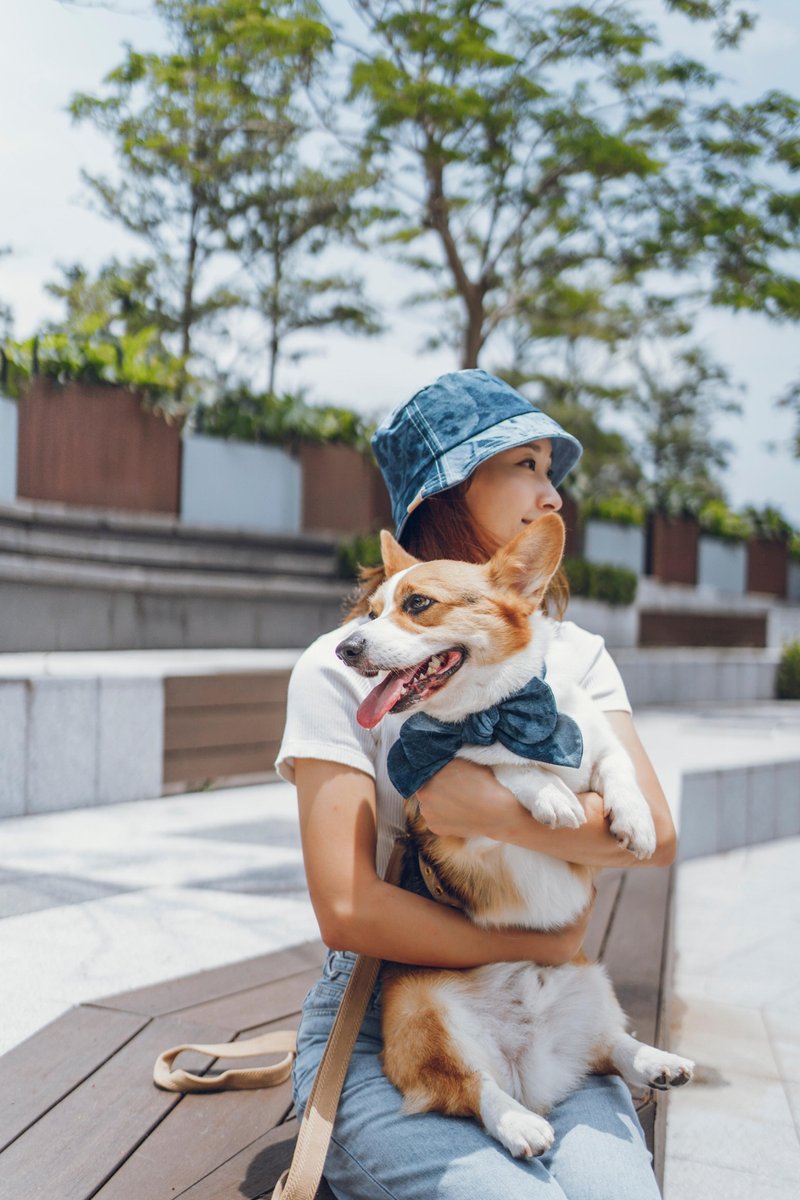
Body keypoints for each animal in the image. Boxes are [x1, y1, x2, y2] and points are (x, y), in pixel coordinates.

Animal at [335, 513, 690, 1152]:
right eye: (370, 612)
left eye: (417, 604)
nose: (345, 648)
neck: (501, 710)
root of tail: (530, 1068)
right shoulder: (463, 826)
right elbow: (502, 766)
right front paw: (549, 795)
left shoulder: (599, 743)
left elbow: (617, 769)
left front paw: (636, 822)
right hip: (423, 1011)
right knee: (467, 1086)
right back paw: (520, 1122)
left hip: (591, 980)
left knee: (609, 1046)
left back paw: (657, 1061)